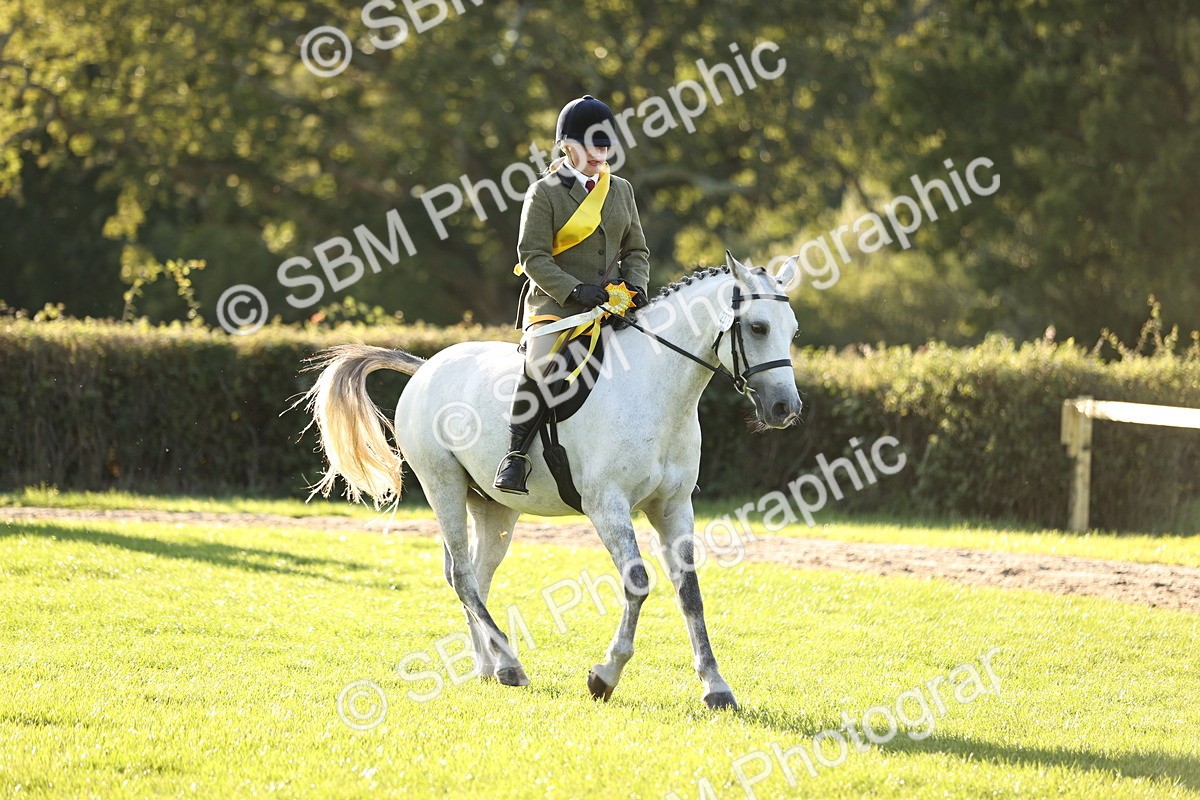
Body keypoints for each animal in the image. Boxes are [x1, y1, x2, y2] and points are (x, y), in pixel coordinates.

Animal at [302, 252, 803, 710]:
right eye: (758, 327)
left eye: (793, 331)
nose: (786, 409)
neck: (655, 389)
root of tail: (427, 366)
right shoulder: (607, 505)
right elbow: (638, 582)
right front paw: (604, 676)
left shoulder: (673, 506)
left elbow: (690, 591)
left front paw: (715, 687)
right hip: (441, 484)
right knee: (463, 575)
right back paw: (509, 666)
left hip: (492, 505)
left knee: (474, 574)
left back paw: (487, 665)